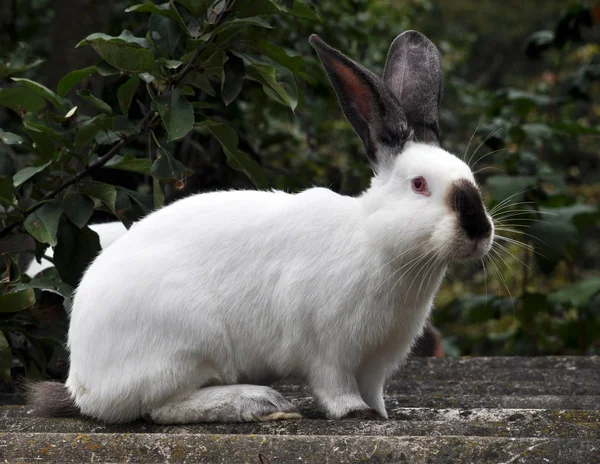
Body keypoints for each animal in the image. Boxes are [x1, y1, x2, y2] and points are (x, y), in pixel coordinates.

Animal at [29, 30, 492, 424]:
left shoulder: (377, 362)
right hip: (191, 343)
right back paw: (256, 401)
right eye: (419, 185)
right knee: (159, 408)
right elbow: (334, 386)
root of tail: (84, 383)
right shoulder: (328, 349)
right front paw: (355, 413)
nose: (478, 231)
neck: (377, 242)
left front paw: (380, 413)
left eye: (471, 177)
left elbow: (374, 389)